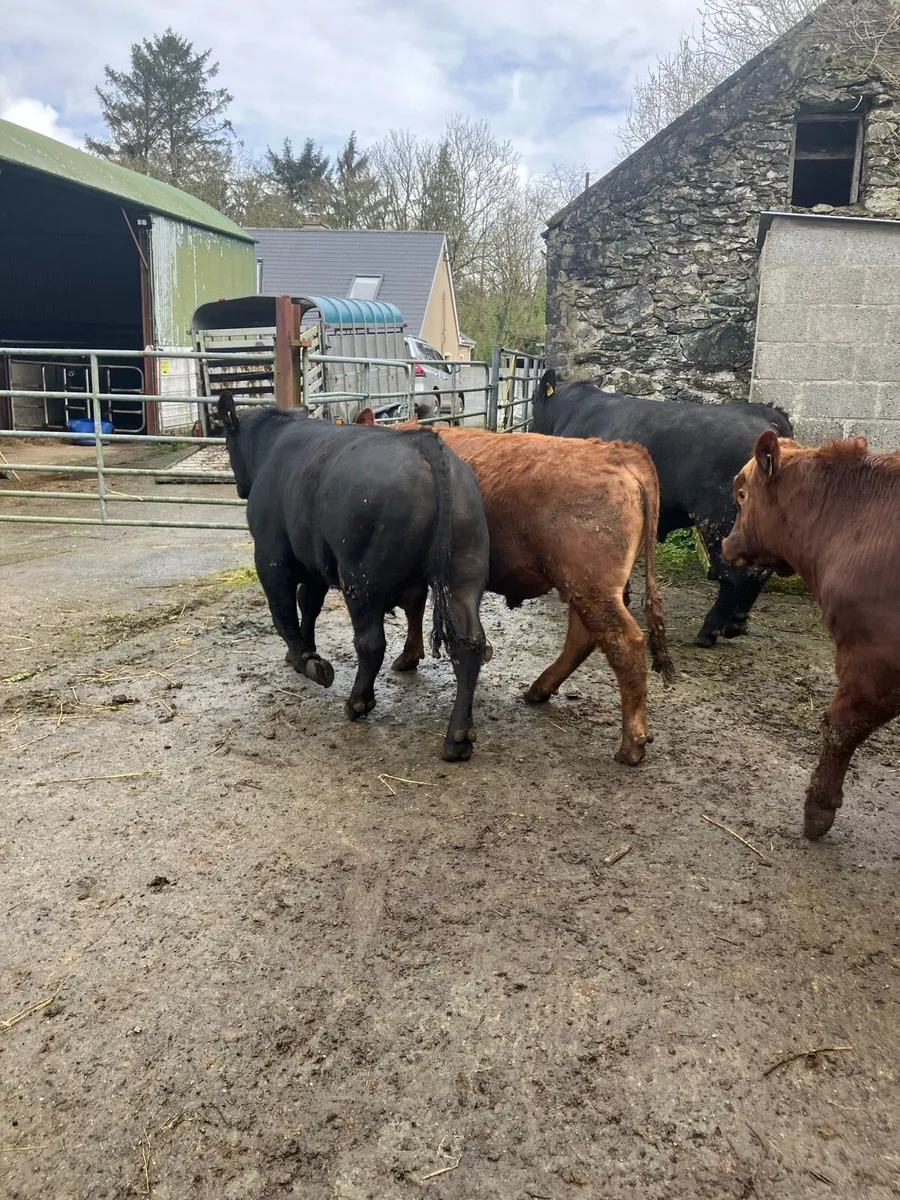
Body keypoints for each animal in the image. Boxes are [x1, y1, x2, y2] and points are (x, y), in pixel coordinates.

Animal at [217, 394, 489, 761]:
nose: (238, 487)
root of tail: (424, 444)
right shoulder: (315, 563)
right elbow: (309, 605)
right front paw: (305, 651)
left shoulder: (271, 559)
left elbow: (284, 613)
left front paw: (307, 662)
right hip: (464, 571)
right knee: (469, 644)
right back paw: (458, 737)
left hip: (361, 580)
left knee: (370, 643)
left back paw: (358, 702)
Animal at [356, 408, 674, 766]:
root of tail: (619, 451)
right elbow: (416, 607)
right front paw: (412, 655)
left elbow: (413, 604)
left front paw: (408, 657)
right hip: (586, 586)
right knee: (584, 637)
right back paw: (540, 689)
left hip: (589, 583)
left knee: (623, 643)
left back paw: (631, 744)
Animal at [531, 370, 794, 649]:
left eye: (534, 399)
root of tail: (763, 412)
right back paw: (736, 623)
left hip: (720, 517)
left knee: (739, 573)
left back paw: (710, 630)